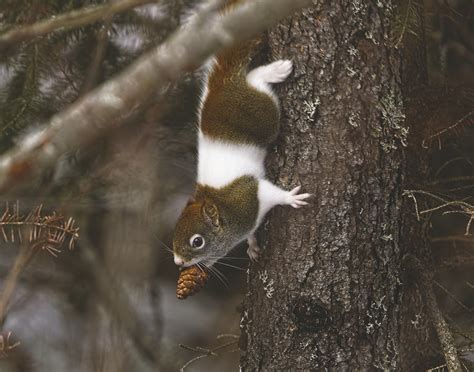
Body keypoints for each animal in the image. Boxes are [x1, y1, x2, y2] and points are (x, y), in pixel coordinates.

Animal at [171, 0, 312, 268]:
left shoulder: (249, 197)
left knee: (256, 80)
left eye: (197, 241)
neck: (223, 210)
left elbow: (271, 192)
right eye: (174, 233)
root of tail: (221, 86)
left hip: (262, 114)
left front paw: (290, 198)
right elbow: (252, 233)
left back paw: (273, 72)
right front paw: (253, 245)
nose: (178, 262)